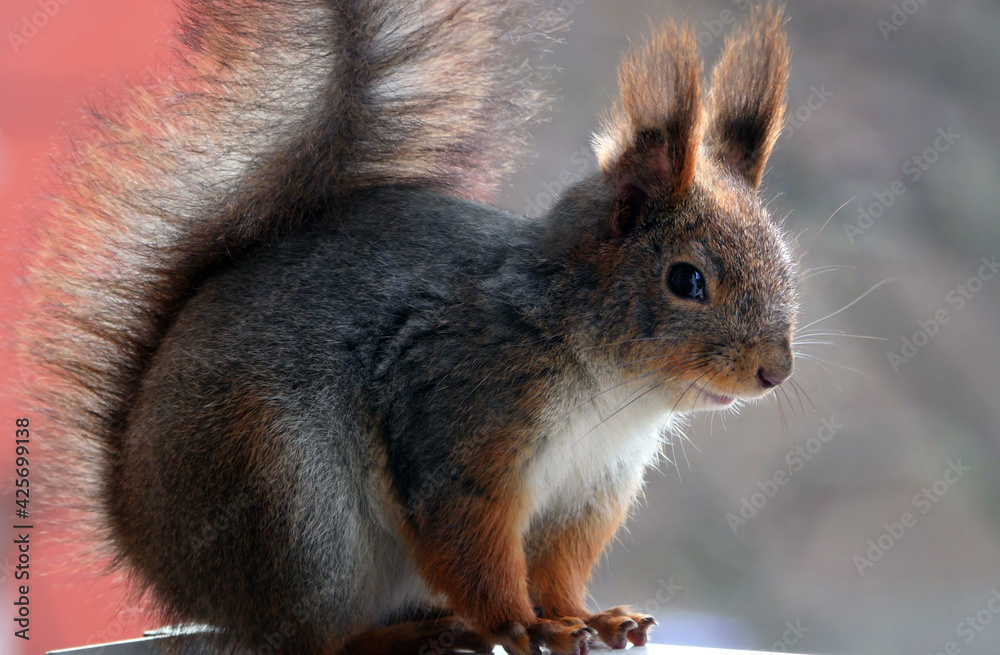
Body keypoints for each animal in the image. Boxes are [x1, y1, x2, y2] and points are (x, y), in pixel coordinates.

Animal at [22, 1, 796, 654]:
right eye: (686, 280)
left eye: (786, 265)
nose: (775, 370)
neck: (608, 385)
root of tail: (142, 532)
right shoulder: (460, 419)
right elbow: (469, 542)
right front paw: (520, 623)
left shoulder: (590, 490)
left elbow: (559, 569)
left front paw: (586, 616)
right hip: (289, 502)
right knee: (311, 637)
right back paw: (402, 635)